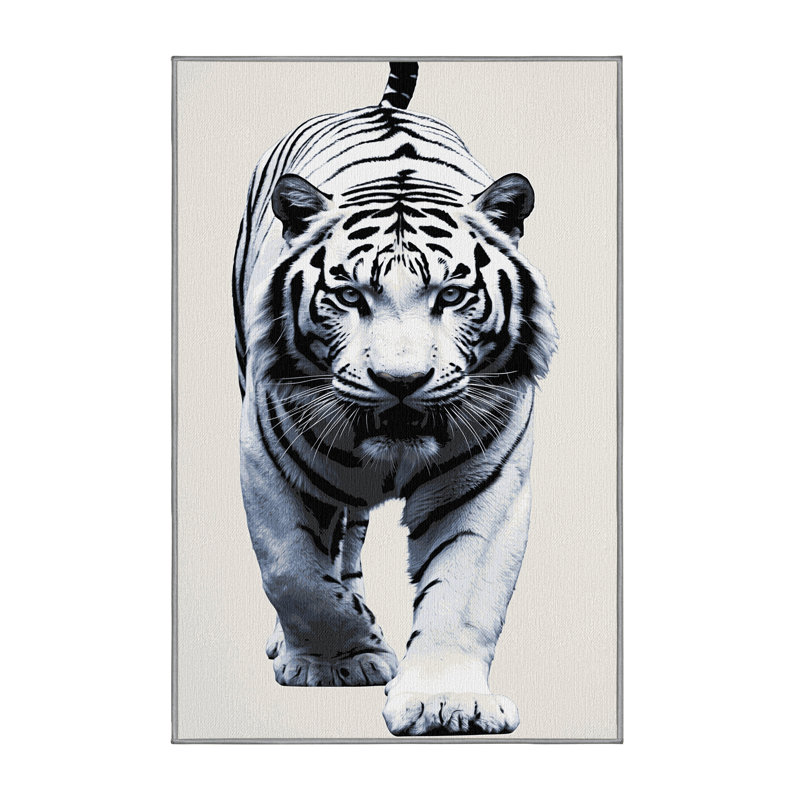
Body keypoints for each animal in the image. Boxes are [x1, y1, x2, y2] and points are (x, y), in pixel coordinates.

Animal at [232, 61, 558, 736]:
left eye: (452, 295)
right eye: (349, 296)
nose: (400, 381)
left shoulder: (487, 479)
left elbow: (464, 589)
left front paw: (449, 703)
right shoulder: (268, 460)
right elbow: (295, 574)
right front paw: (343, 662)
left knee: (351, 539)